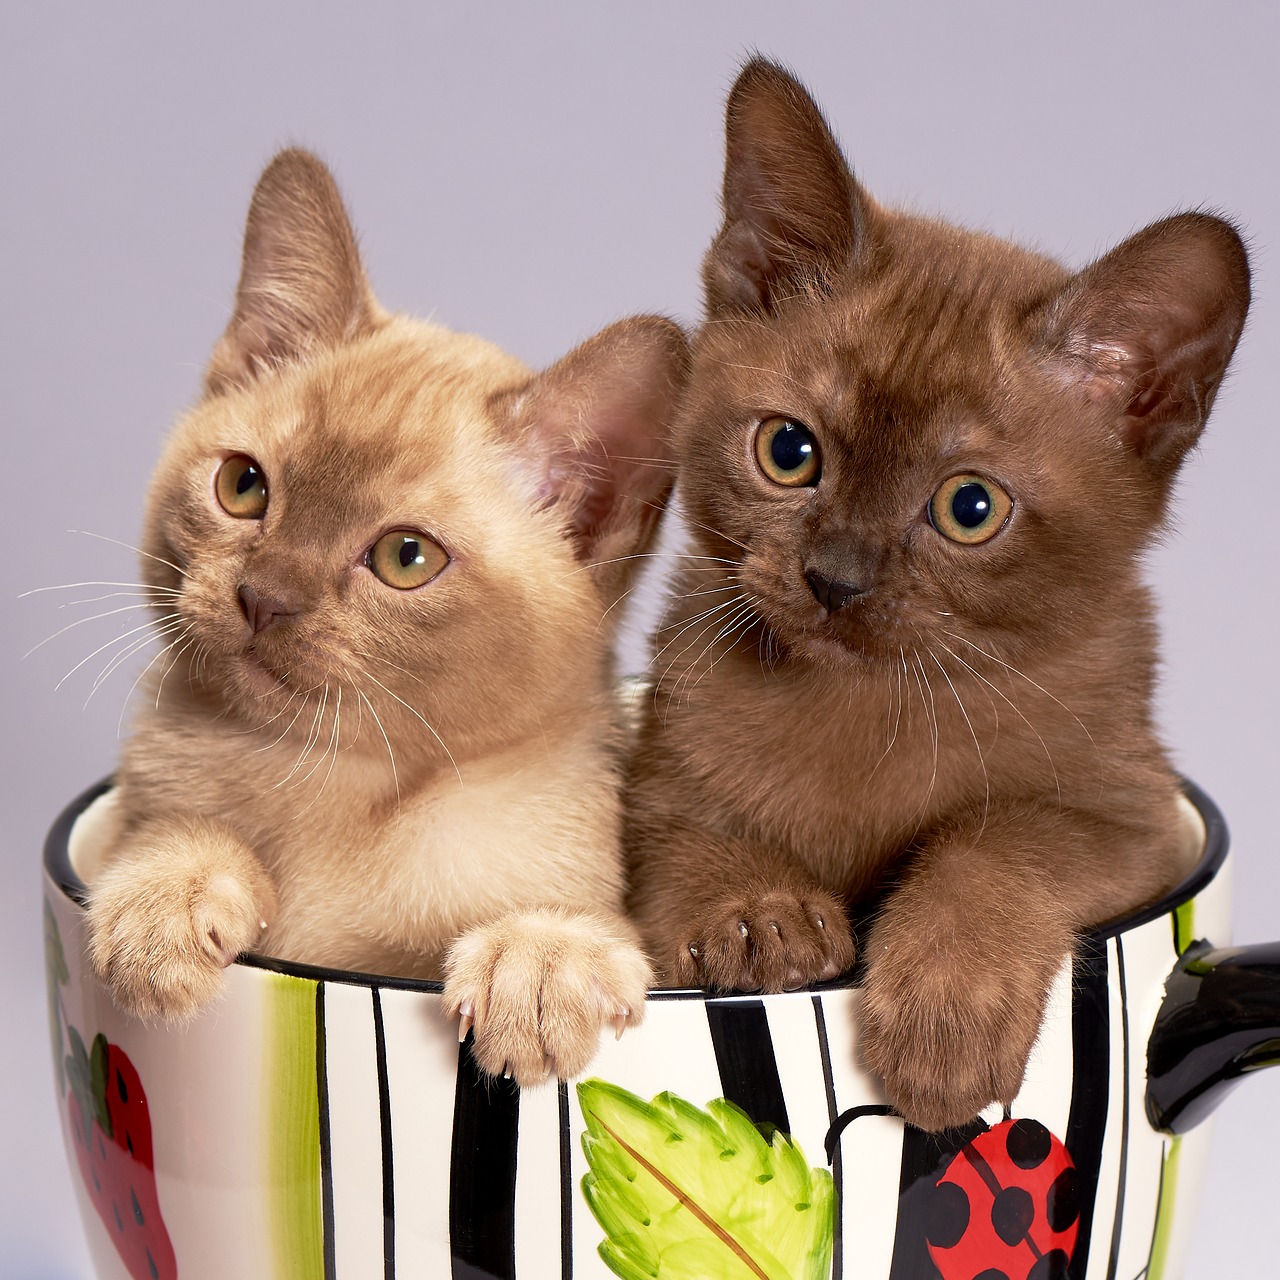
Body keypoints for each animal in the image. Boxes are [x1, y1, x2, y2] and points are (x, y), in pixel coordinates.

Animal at [86, 154, 691, 1085]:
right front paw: (167, 898)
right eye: (243, 487)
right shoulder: (144, 807)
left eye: (407, 558)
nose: (265, 596)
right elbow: (175, 831)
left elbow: (570, 924)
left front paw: (539, 962)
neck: (326, 778)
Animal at [629, 57, 1249, 1131]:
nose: (834, 578)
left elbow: (1000, 839)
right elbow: (696, 838)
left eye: (969, 508)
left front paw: (946, 1009)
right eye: (788, 451)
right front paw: (757, 913)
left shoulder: (1133, 821)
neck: (860, 714)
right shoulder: (651, 790)